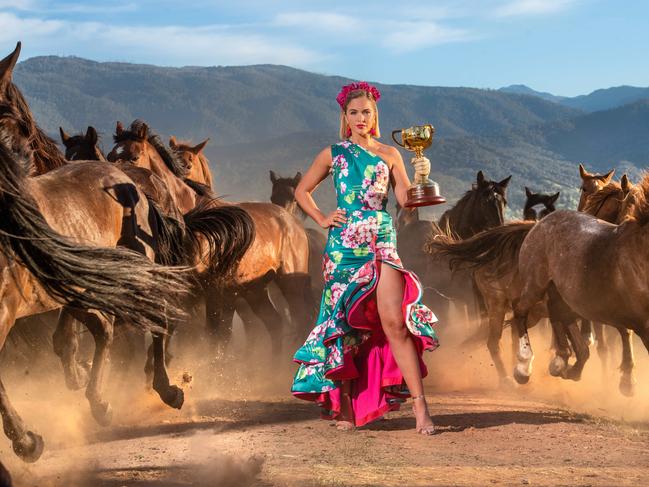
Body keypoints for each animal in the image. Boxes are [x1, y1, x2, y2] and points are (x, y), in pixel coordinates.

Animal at [109, 122, 312, 354]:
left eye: (134, 156)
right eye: (110, 154)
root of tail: (291, 222)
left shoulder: (214, 291)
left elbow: (212, 336)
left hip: (290, 281)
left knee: (299, 319)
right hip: (255, 288)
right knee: (274, 323)